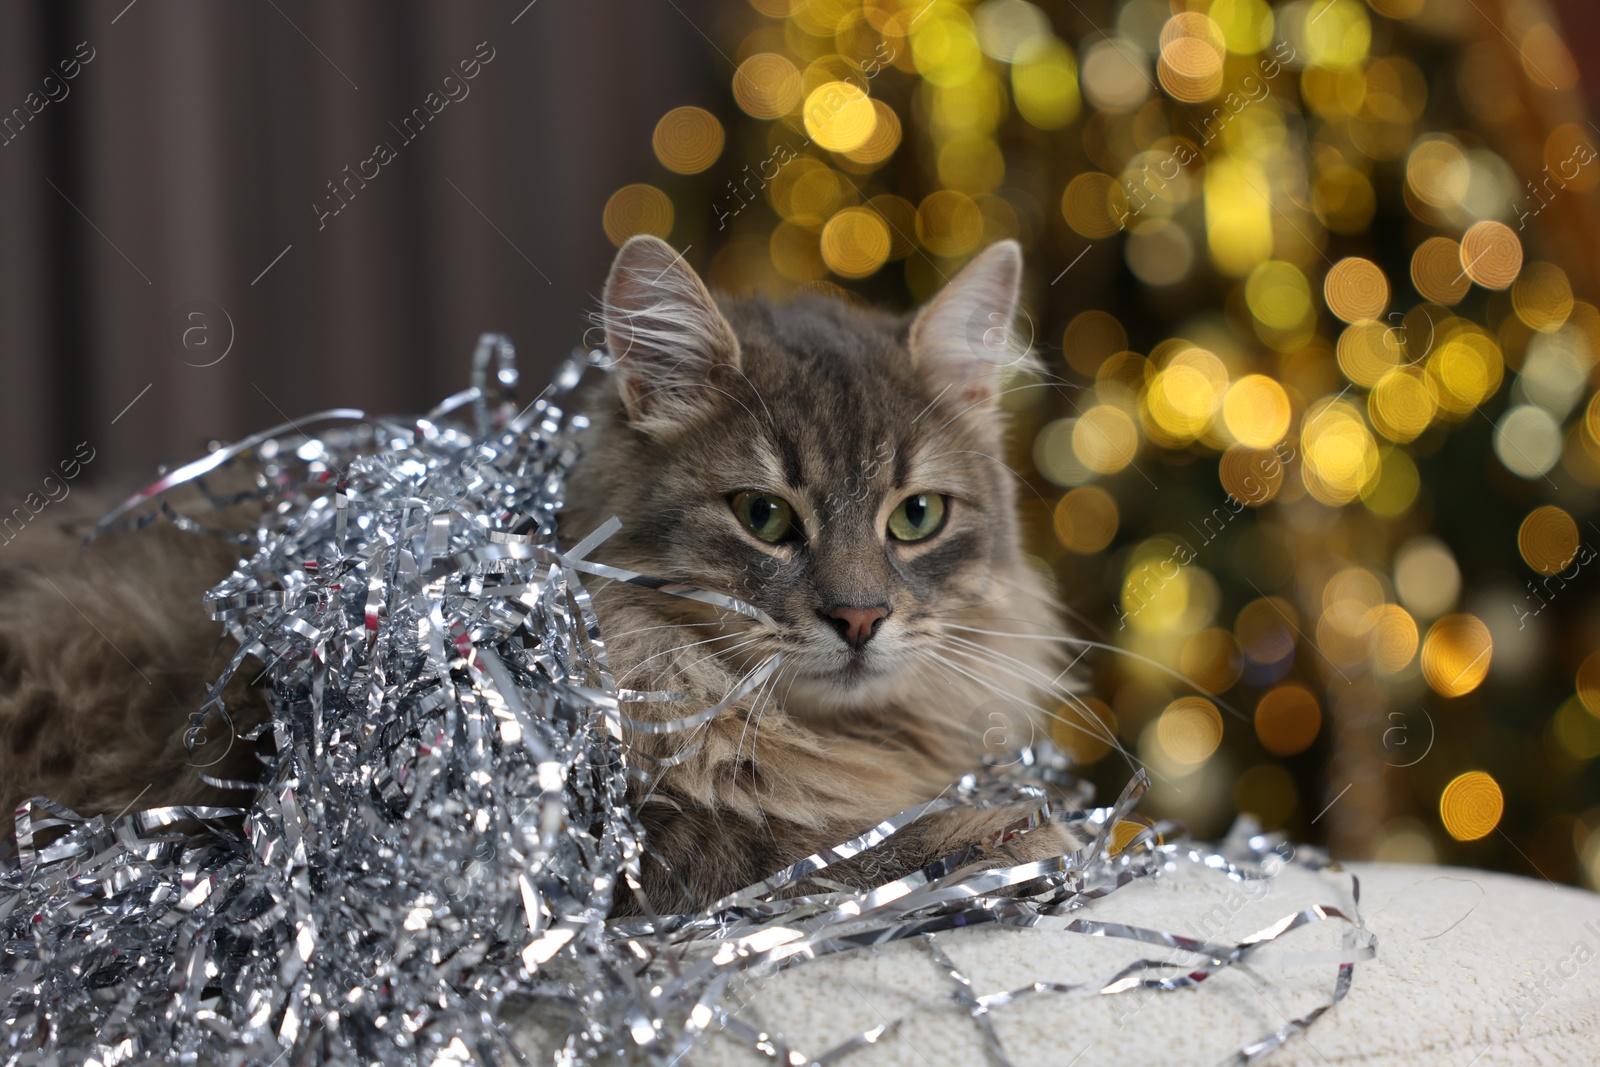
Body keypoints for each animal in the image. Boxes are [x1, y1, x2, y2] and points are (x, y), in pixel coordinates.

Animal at [0, 235, 1081, 908]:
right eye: (765, 517)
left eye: (917, 517)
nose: (859, 617)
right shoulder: (584, 843)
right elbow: (813, 841)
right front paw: (1003, 834)